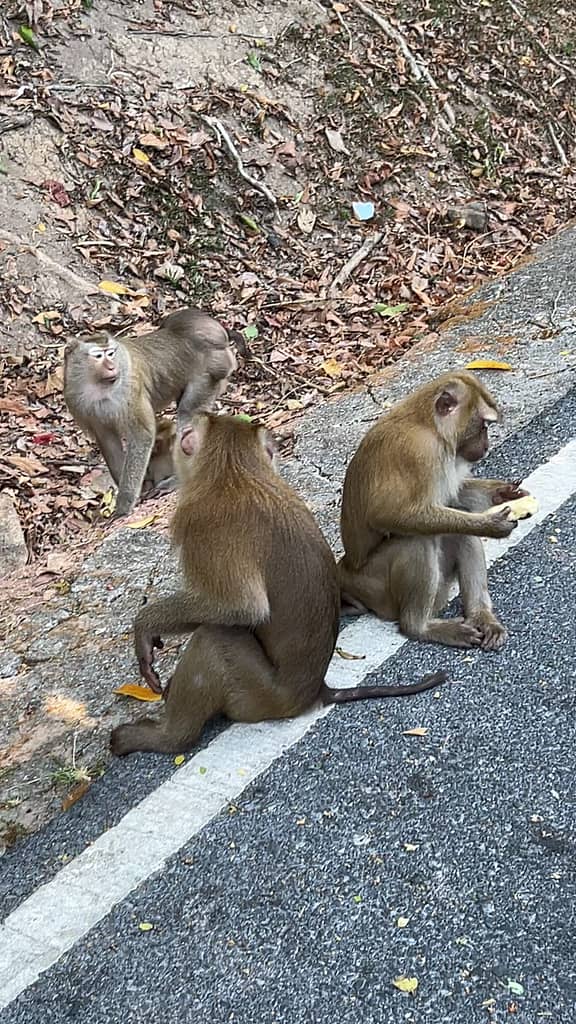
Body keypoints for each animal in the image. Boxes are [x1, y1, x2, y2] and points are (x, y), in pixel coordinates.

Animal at [64, 305, 237, 516]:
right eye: (98, 356)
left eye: (111, 353)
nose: (112, 367)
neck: (96, 387)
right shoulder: (77, 402)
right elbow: (107, 441)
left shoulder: (131, 391)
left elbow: (142, 436)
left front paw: (124, 504)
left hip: (210, 374)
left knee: (187, 414)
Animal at [109, 411, 446, 757]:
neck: (234, 473)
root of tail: (317, 691)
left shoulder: (199, 527)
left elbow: (239, 609)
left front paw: (146, 624)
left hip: (258, 695)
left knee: (213, 639)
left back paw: (168, 738)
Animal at [336, 372, 528, 651]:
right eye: (483, 425)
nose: (486, 446)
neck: (430, 427)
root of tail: (346, 569)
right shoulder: (421, 454)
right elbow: (388, 514)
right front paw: (490, 525)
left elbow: (454, 497)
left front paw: (502, 492)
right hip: (376, 588)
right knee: (418, 539)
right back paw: (421, 627)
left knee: (458, 531)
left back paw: (481, 617)